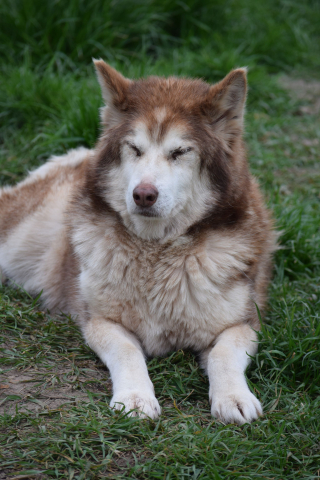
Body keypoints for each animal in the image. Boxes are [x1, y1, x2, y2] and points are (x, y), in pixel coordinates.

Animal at [0, 60, 276, 424]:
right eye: (134, 149)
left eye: (179, 152)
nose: (143, 194)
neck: (157, 252)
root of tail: (81, 155)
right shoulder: (100, 320)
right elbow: (128, 350)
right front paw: (134, 398)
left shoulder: (243, 324)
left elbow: (223, 354)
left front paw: (234, 397)